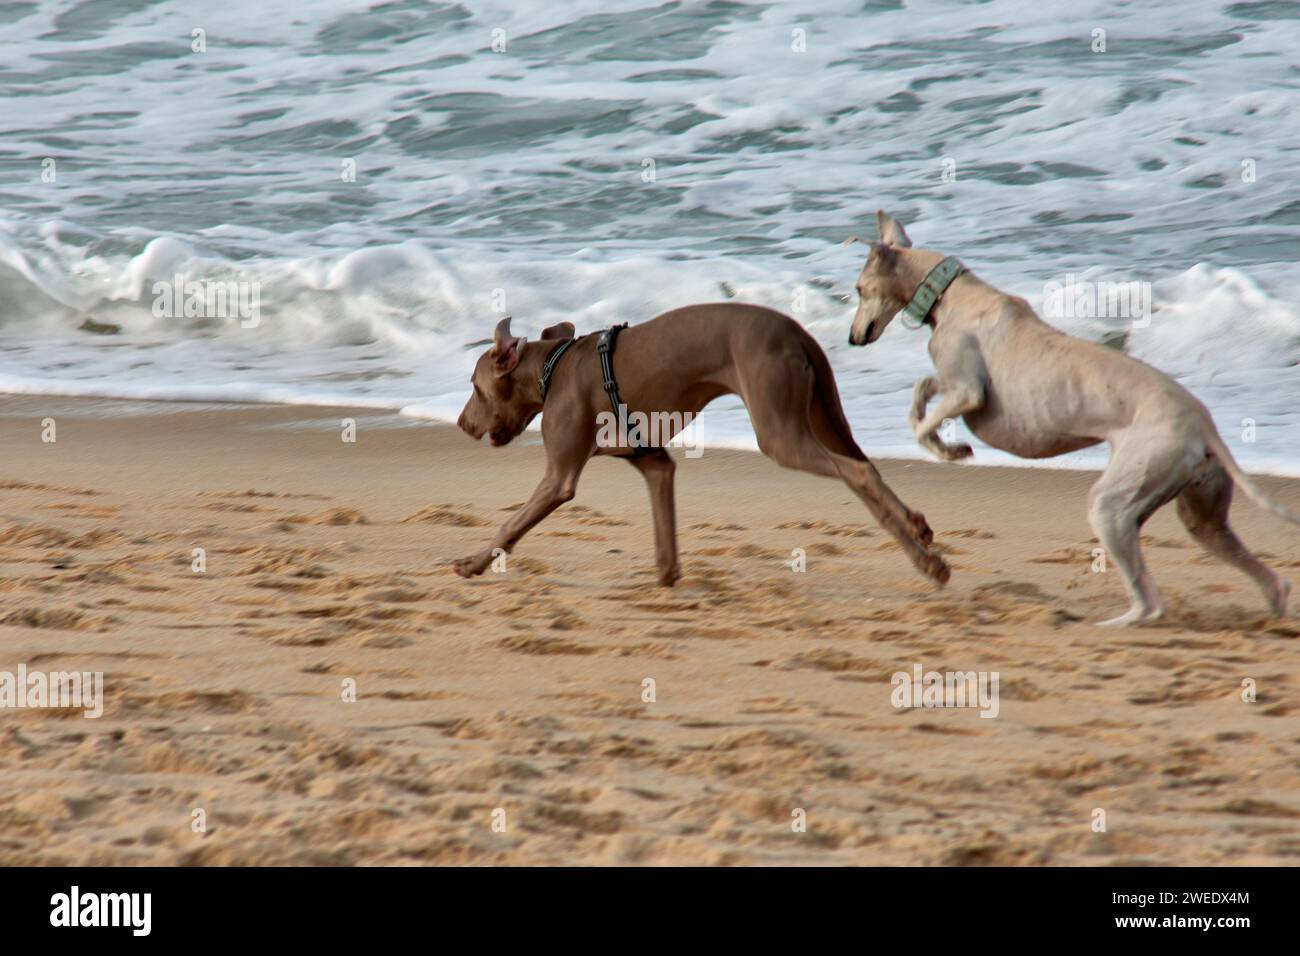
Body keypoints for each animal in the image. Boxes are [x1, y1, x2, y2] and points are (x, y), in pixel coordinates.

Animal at [454, 304, 946, 582]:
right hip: (825, 416)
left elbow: (510, 526)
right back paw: (921, 534)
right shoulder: (655, 464)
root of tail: (797, 331)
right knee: (869, 465)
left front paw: (473, 563)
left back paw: (926, 562)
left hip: (779, 432)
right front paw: (665, 580)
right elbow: (665, 543)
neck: (552, 367)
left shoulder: (559, 478)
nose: (461, 423)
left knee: (857, 471)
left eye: (475, 387)